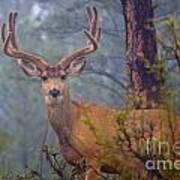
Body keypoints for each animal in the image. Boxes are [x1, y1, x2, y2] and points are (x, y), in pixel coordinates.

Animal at [1, 5, 180, 180]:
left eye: (63, 76)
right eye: (43, 77)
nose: (54, 91)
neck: (72, 124)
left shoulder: (95, 156)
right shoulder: (77, 164)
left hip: (167, 157)